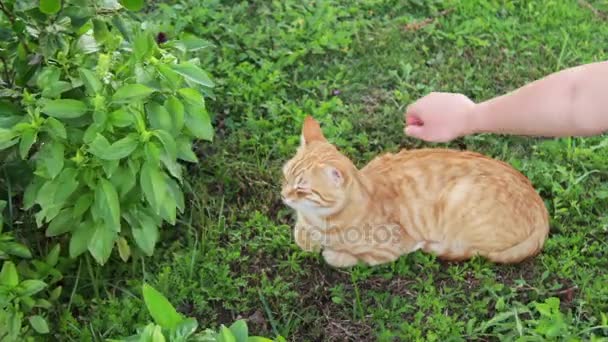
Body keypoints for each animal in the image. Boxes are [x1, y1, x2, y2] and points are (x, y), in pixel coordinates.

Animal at [280, 116, 552, 268]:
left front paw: (330, 252)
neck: (318, 219)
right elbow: (301, 237)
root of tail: (540, 208)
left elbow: (338, 257)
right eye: (285, 176)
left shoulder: (390, 249)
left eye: (302, 188)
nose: (283, 195)